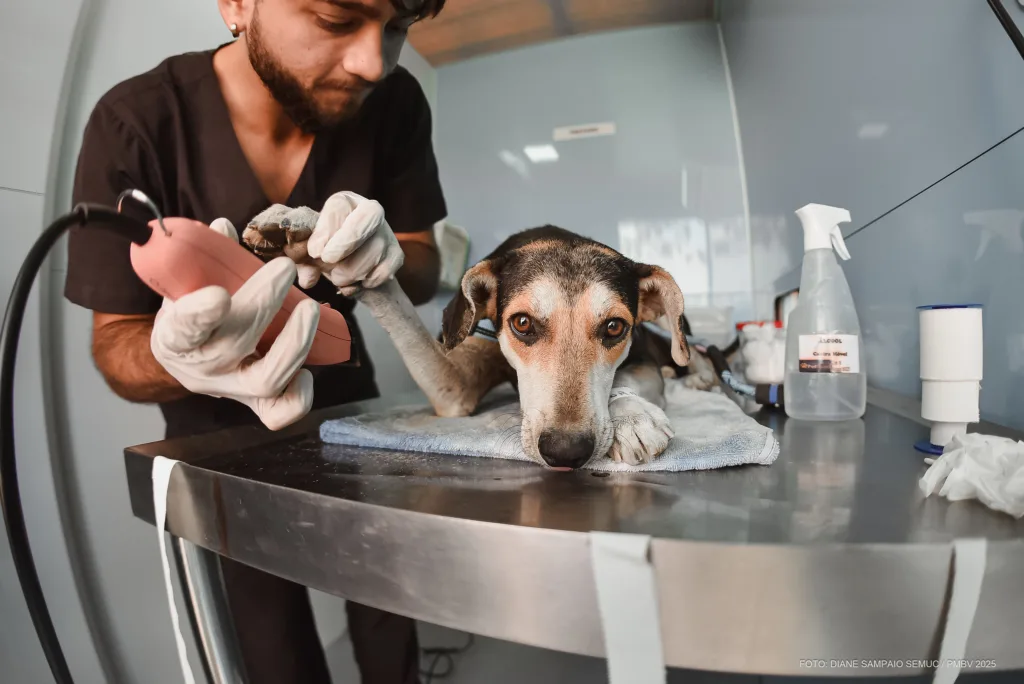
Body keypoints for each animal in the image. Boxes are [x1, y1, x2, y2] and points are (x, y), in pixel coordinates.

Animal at [244, 214, 720, 471]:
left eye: (615, 328)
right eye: (522, 323)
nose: (566, 452)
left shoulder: (639, 353)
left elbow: (634, 378)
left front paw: (631, 416)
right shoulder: (454, 385)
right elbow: (393, 302)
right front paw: (314, 237)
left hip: (669, 335)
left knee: (687, 350)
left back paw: (700, 376)